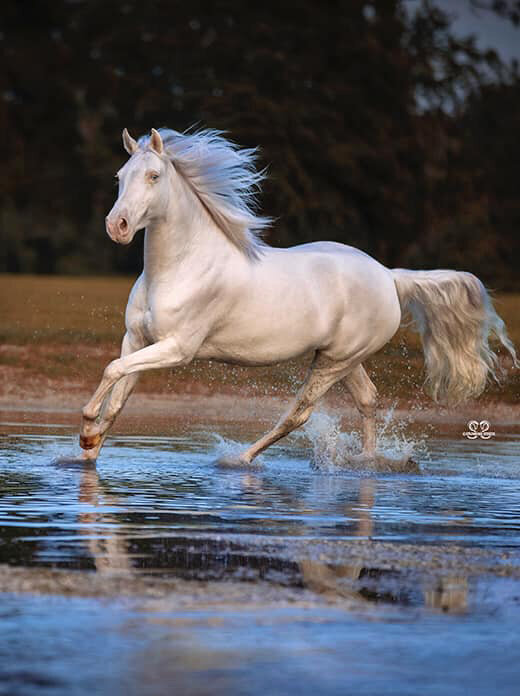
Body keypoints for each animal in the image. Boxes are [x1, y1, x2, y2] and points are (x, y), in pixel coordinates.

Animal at [79, 129, 516, 468]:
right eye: (120, 176)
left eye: (153, 176)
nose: (117, 226)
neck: (181, 268)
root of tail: (389, 277)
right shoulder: (139, 340)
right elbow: (117, 392)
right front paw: (89, 450)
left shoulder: (177, 349)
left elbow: (111, 371)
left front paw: (86, 428)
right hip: (343, 360)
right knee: (368, 401)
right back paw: (367, 463)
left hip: (332, 363)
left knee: (299, 414)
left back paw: (241, 460)